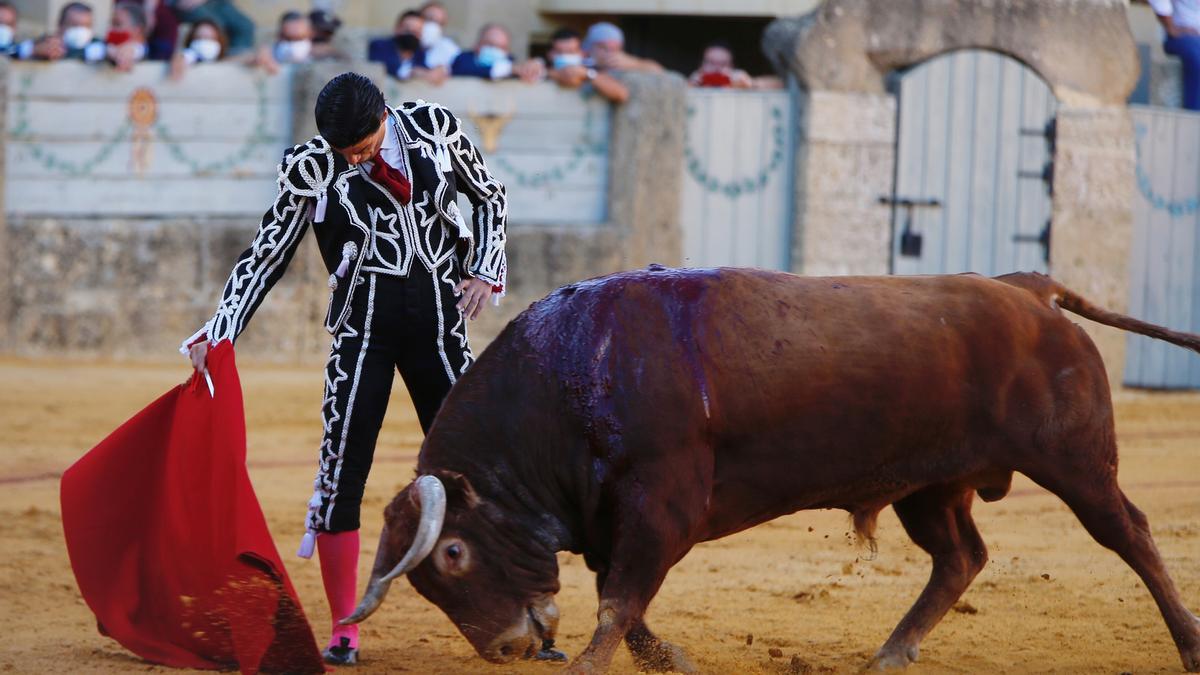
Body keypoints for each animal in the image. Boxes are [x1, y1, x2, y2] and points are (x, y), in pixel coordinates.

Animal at [338, 265, 1200, 667]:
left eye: (453, 551)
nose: (508, 647)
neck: (573, 369)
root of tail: (1029, 289)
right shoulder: (612, 518)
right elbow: (624, 599)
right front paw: (670, 660)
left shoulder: (661, 504)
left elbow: (619, 598)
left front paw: (587, 665)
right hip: (930, 487)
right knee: (961, 555)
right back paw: (889, 653)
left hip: (1078, 462)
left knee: (1132, 534)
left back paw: (1188, 642)